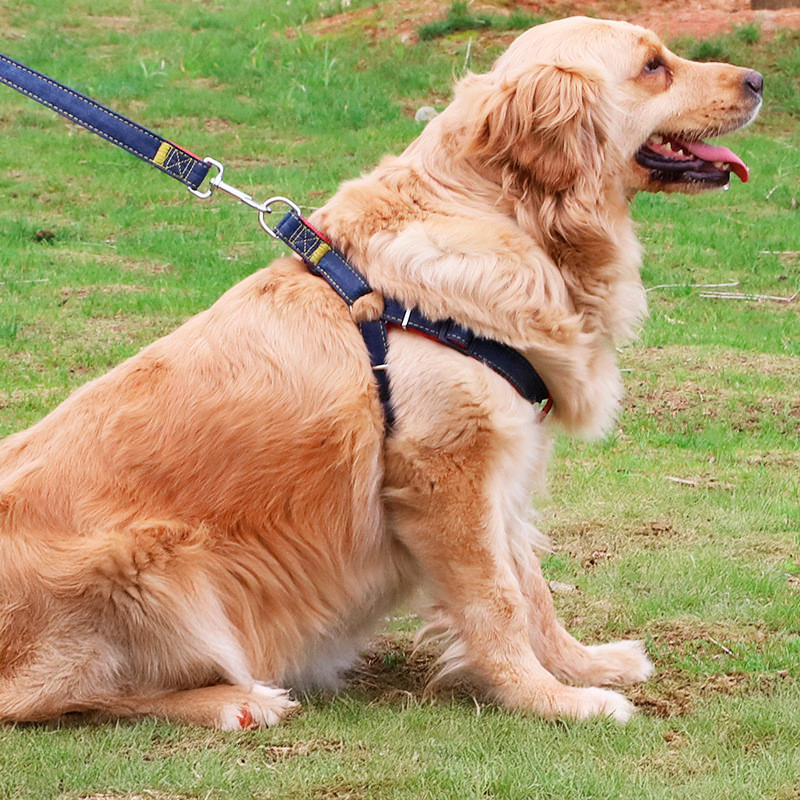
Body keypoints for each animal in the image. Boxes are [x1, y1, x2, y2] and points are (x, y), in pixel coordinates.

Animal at [0, 15, 764, 728]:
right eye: (654, 66)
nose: (759, 80)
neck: (505, 211)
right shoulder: (444, 472)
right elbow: (499, 603)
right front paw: (549, 699)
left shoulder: (503, 469)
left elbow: (533, 590)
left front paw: (583, 665)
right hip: (149, 563)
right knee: (56, 698)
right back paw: (234, 702)